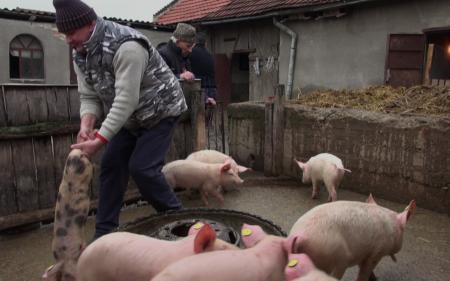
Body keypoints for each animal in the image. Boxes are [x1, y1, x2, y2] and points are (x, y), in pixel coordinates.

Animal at [286, 195, 416, 280]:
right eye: (403, 232)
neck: (392, 228)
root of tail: (300, 236)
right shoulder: (377, 252)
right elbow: (366, 270)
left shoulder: (364, 252)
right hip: (336, 258)